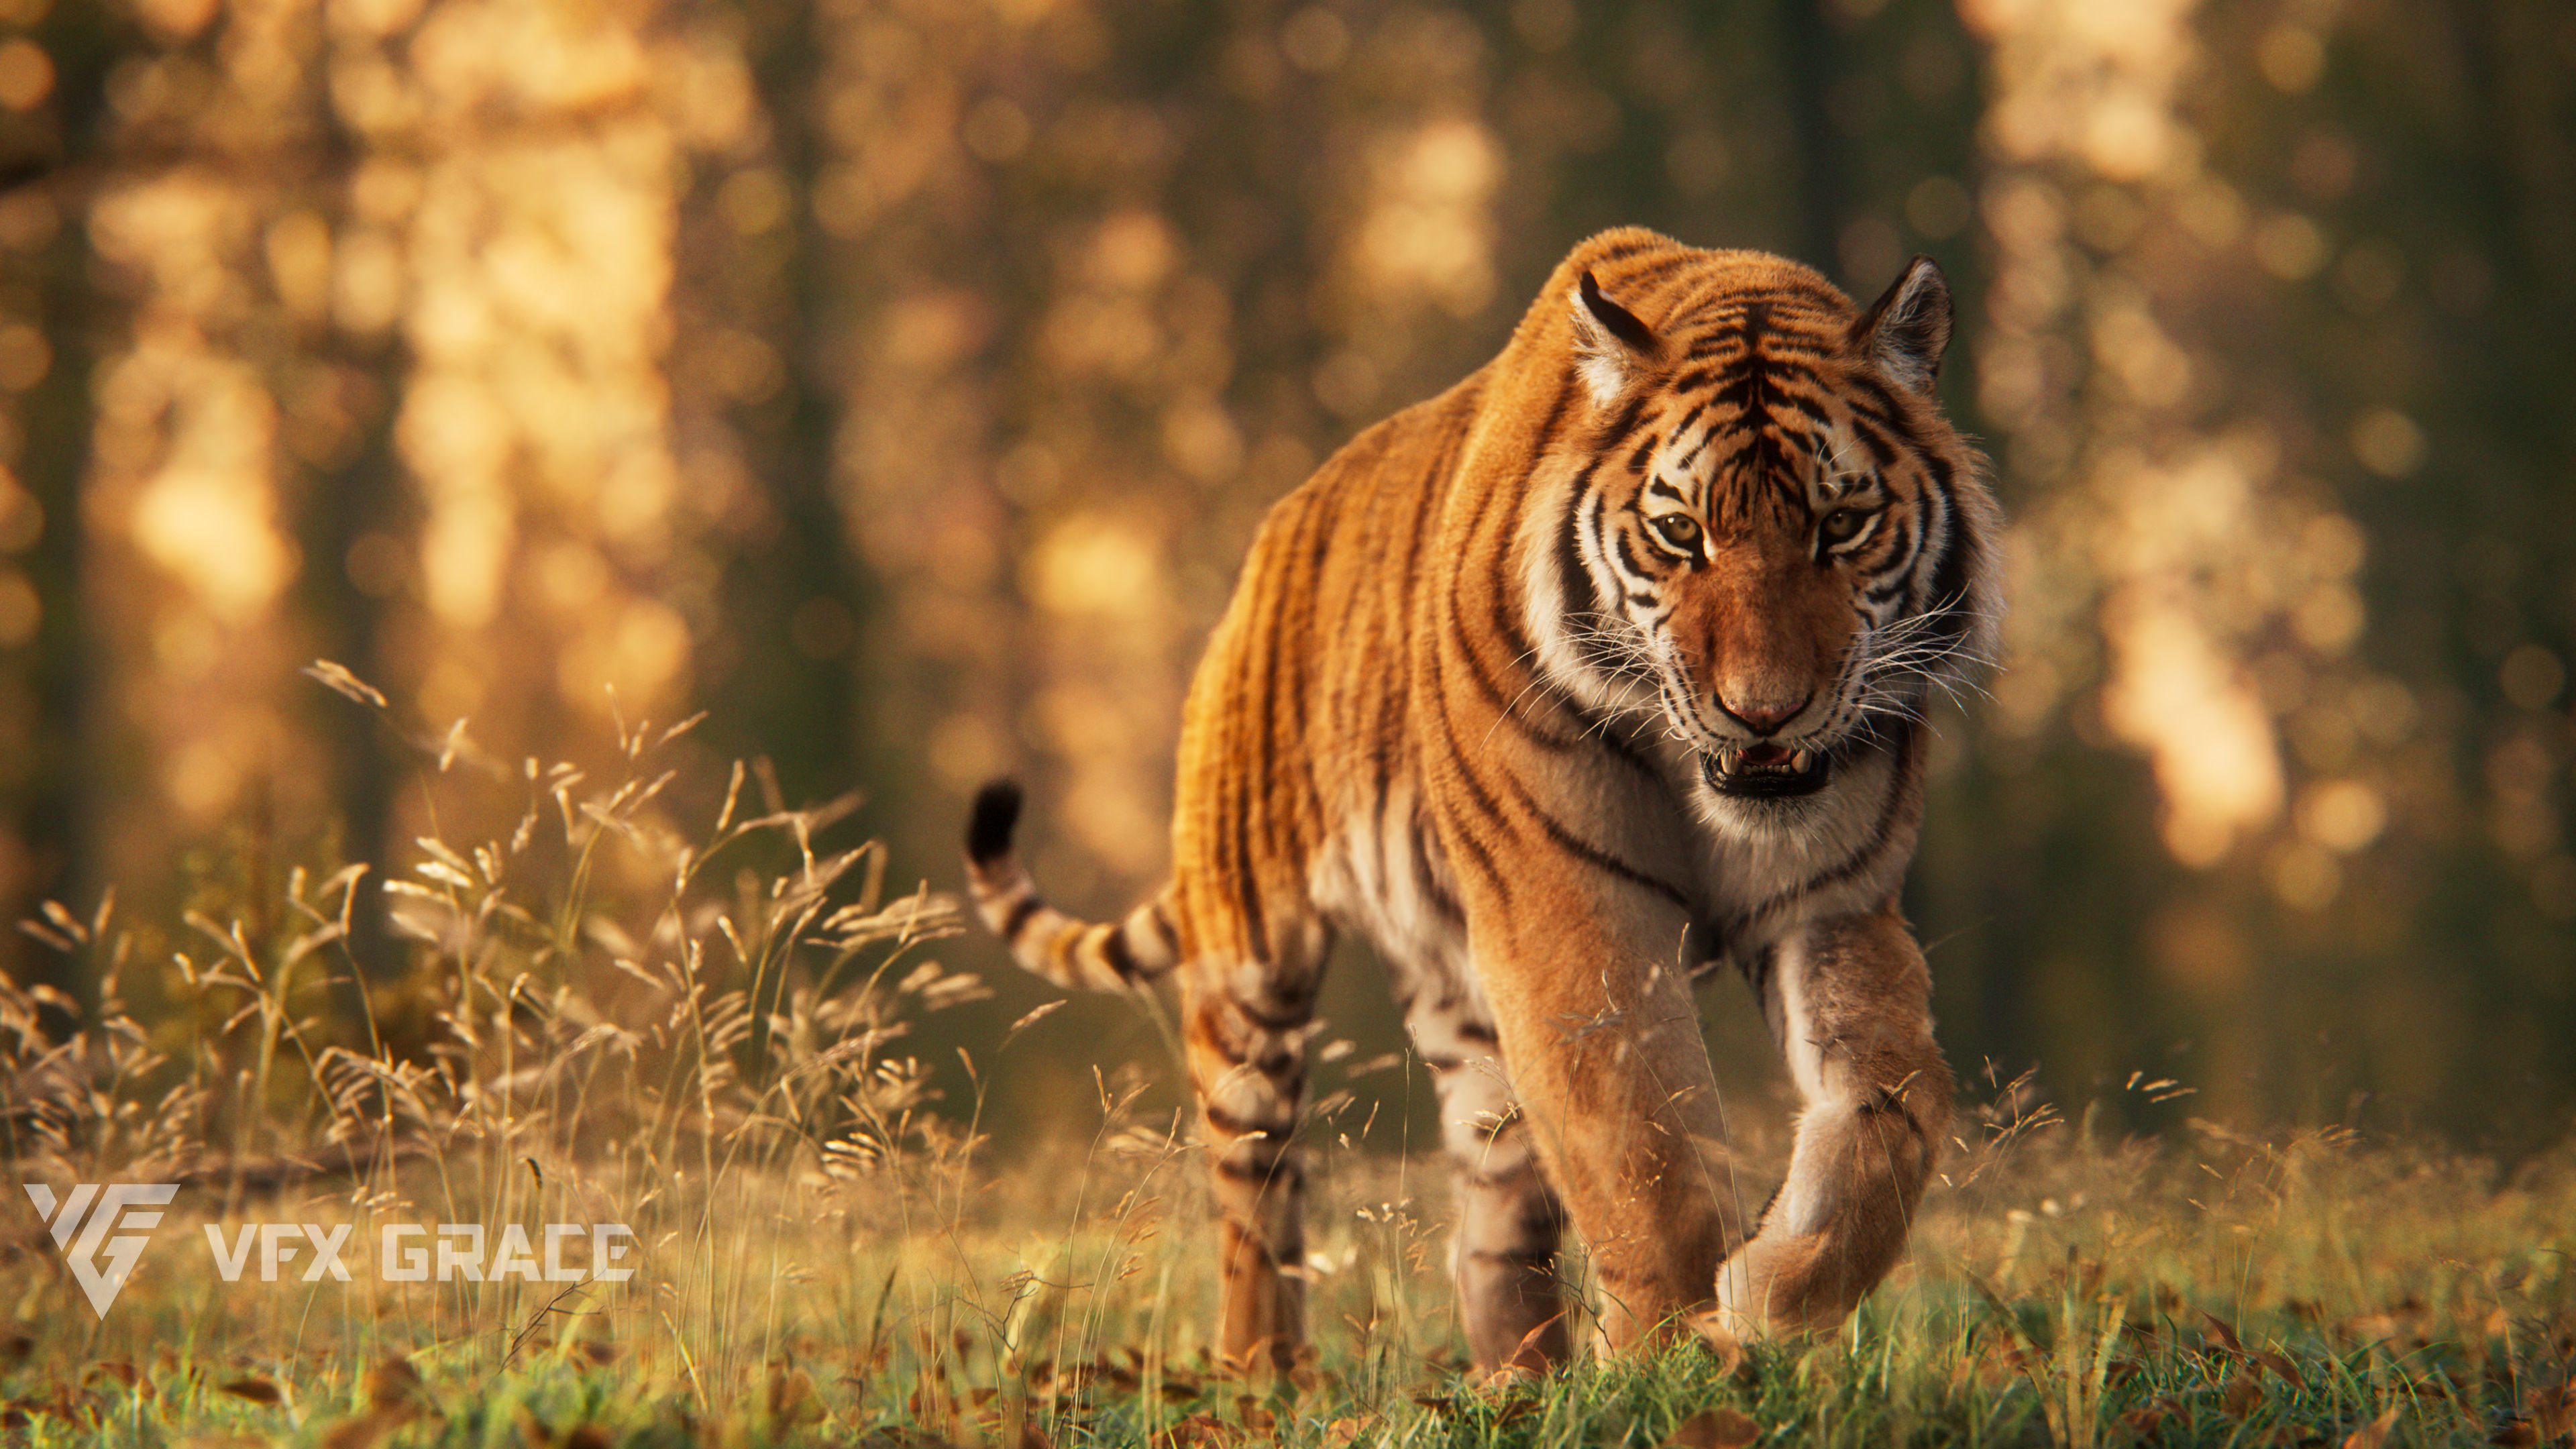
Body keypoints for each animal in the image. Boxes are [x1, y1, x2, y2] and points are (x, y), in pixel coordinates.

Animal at [965, 227, 2001, 1374]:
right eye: (1679, 532)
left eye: (1844, 523)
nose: (1764, 712)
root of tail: (1270, 539)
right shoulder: (1570, 911)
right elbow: (1642, 1149)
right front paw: (1675, 1355)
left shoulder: (1832, 905)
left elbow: (1894, 1100)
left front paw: (1772, 1296)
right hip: (1251, 972)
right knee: (1252, 1203)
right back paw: (1261, 1376)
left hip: (1464, 1014)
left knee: (1492, 1226)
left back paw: (1520, 1382)